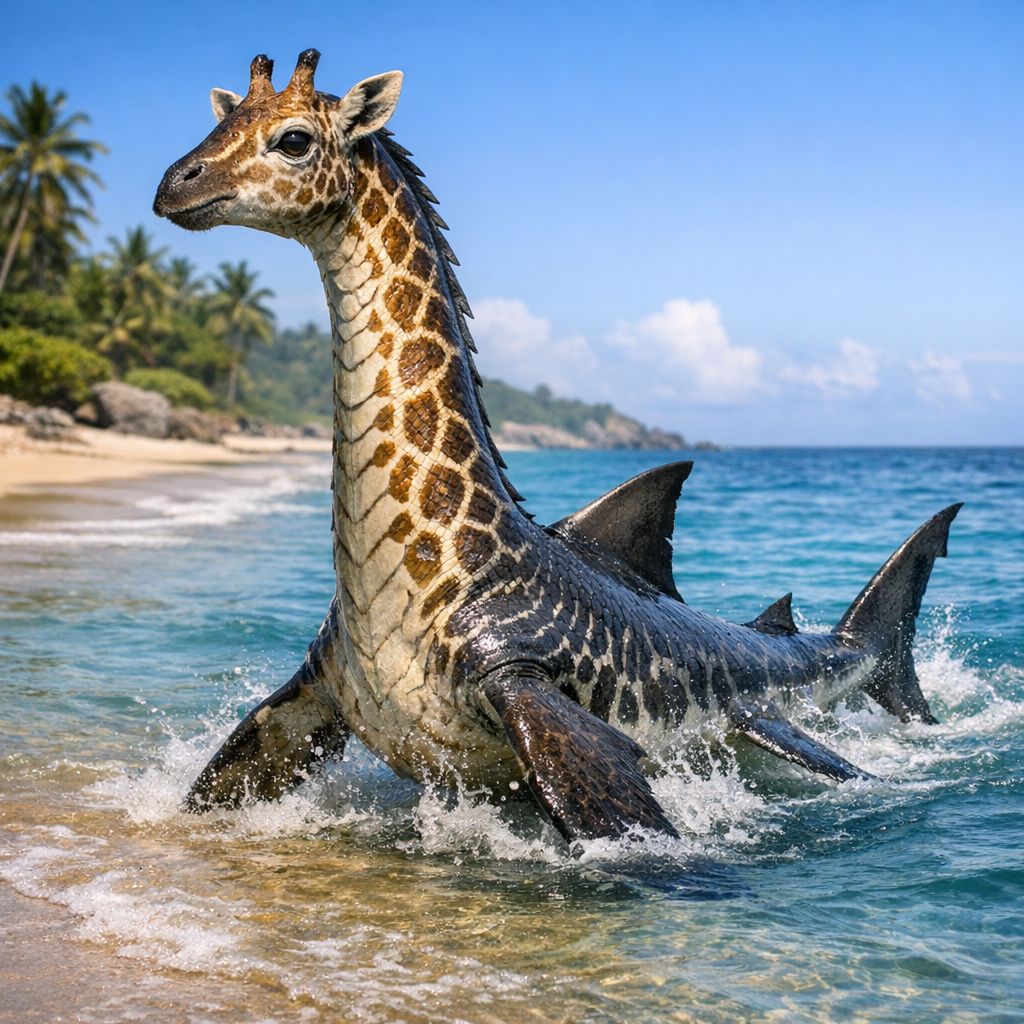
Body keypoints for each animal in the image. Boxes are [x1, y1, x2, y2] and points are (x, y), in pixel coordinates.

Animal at [154, 51, 958, 843]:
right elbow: (221, 779)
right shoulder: (316, 690)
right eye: (220, 120)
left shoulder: (521, 681)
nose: (173, 183)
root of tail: (849, 642)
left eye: (293, 139)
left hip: (754, 719)